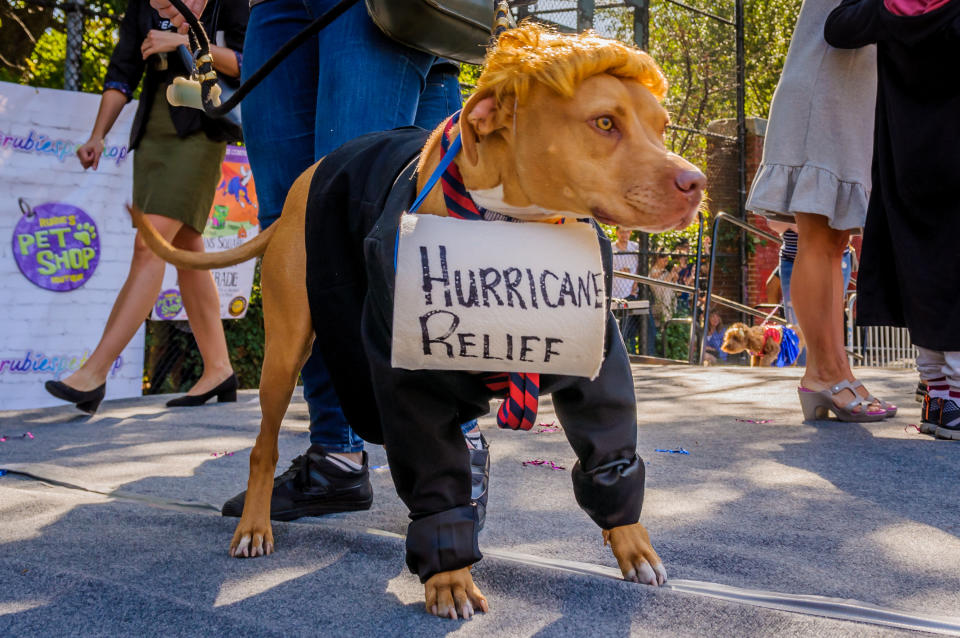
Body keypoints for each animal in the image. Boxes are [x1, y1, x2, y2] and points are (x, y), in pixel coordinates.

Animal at [131, 23, 704, 620]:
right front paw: (449, 578)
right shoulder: (410, 384)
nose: (697, 183)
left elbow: (609, 454)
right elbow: (433, 475)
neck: (510, 224)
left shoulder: (596, 365)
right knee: (263, 445)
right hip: (286, 350)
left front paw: (634, 547)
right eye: (604, 123)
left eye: (661, 127)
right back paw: (254, 526)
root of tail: (299, 189)